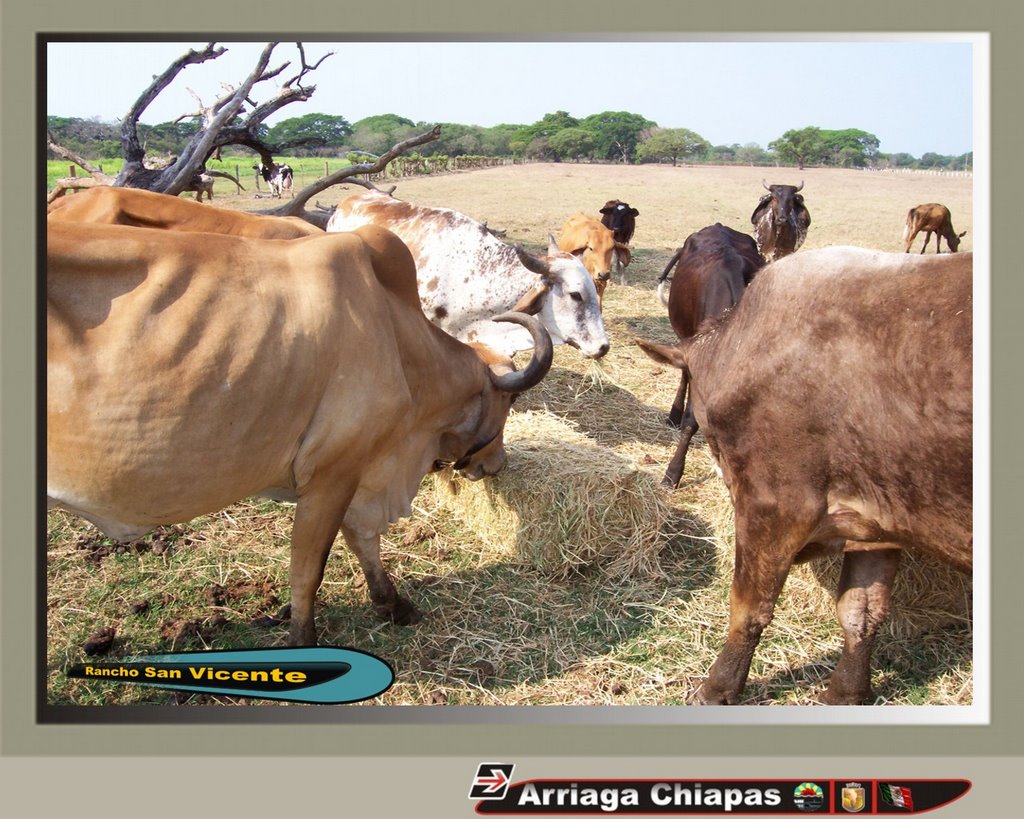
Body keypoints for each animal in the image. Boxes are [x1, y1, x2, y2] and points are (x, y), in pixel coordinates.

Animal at [48, 219, 552, 647]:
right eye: (509, 403)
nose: (496, 465)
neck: (398, 337)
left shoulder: (358, 472)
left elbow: (363, 540)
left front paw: (392, 604)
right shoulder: (331, 475)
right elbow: (309, 569)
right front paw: (303, 640)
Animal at [634, 244, 970, 704]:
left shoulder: (774, 505)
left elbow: (749, 608)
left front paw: (717, 687)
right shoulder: (878, 522)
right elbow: (861, 612)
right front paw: (845, 694)